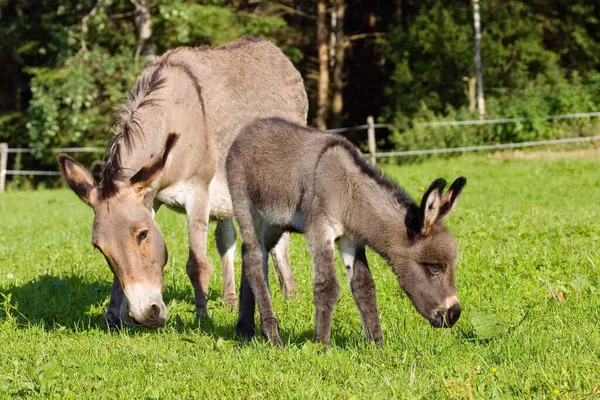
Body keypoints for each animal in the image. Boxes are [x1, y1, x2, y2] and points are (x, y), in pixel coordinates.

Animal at [227, 117, 466, 346]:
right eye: (435, 267)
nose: (454, 315)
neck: (348, 192)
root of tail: (248, 128)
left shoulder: (351, 239)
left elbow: (364, 286)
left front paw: (376, 344)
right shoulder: (320, 228)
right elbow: (327, 285)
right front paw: (320, 345)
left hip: (275, 223)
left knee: (251, 255)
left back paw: (245, 329)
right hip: (247, 209)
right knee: (255, 260)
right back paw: (272, 335)